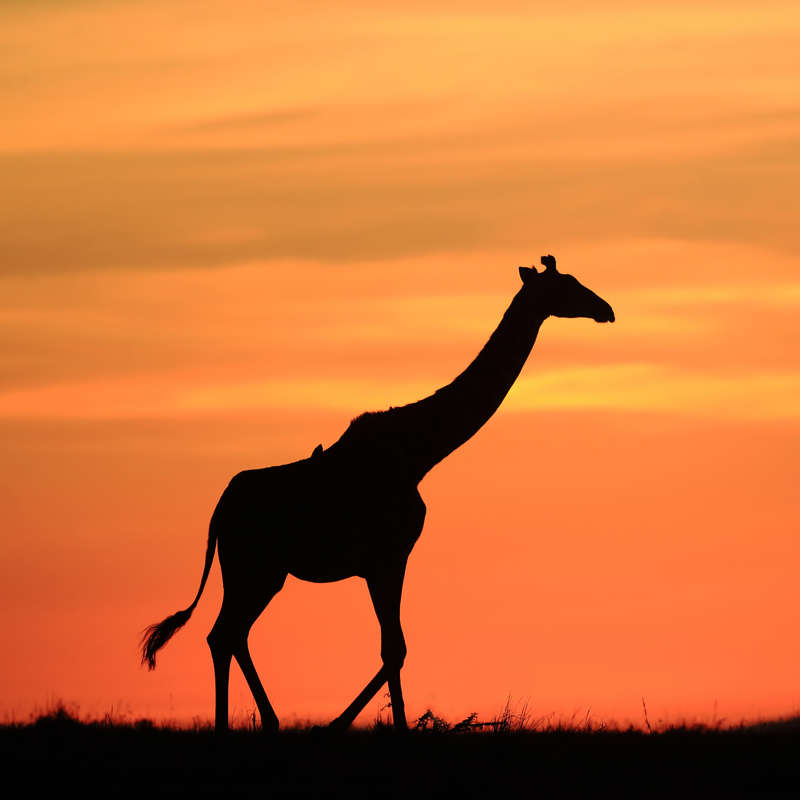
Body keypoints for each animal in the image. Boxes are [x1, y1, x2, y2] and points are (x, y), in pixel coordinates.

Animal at [141, 255, 616, 732]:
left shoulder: (382, 561)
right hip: (254, 566)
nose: (606, 309)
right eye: (567, 285)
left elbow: (394, 648)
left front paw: (347, 723)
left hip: (256, 570)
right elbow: (395, 648)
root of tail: (219, 512)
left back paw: (264, 722)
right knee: (224, 633)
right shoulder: (388, 556)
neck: (420, 452)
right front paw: (358, 725)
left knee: (228, 633)